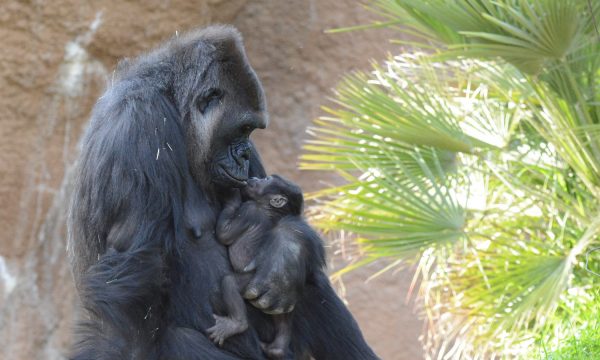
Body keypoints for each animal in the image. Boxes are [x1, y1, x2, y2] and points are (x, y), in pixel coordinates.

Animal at [209, 174, 314, 358]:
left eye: (265, 180)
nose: (255, 177)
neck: (269, 209)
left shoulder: (250, 211)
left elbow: (224, 234)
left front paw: (231, 197)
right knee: (283, 312)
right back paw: (277, 349)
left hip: (253, 281)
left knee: (229, 283)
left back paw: (237, 324)